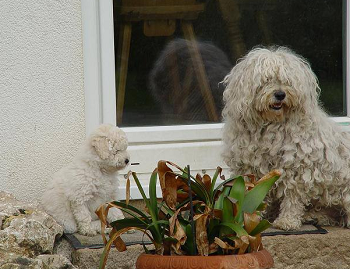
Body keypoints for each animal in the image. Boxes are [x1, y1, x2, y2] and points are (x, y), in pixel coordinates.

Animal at [223, 46, 350, 228]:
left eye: (287, 81)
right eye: (266, 79)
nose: (280, 94)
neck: (271, 126)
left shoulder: (297, 168)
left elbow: (293, 197)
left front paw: (286, 221)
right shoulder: (252, 168)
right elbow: (257, 193)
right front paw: (254, 217)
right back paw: (315, 216)